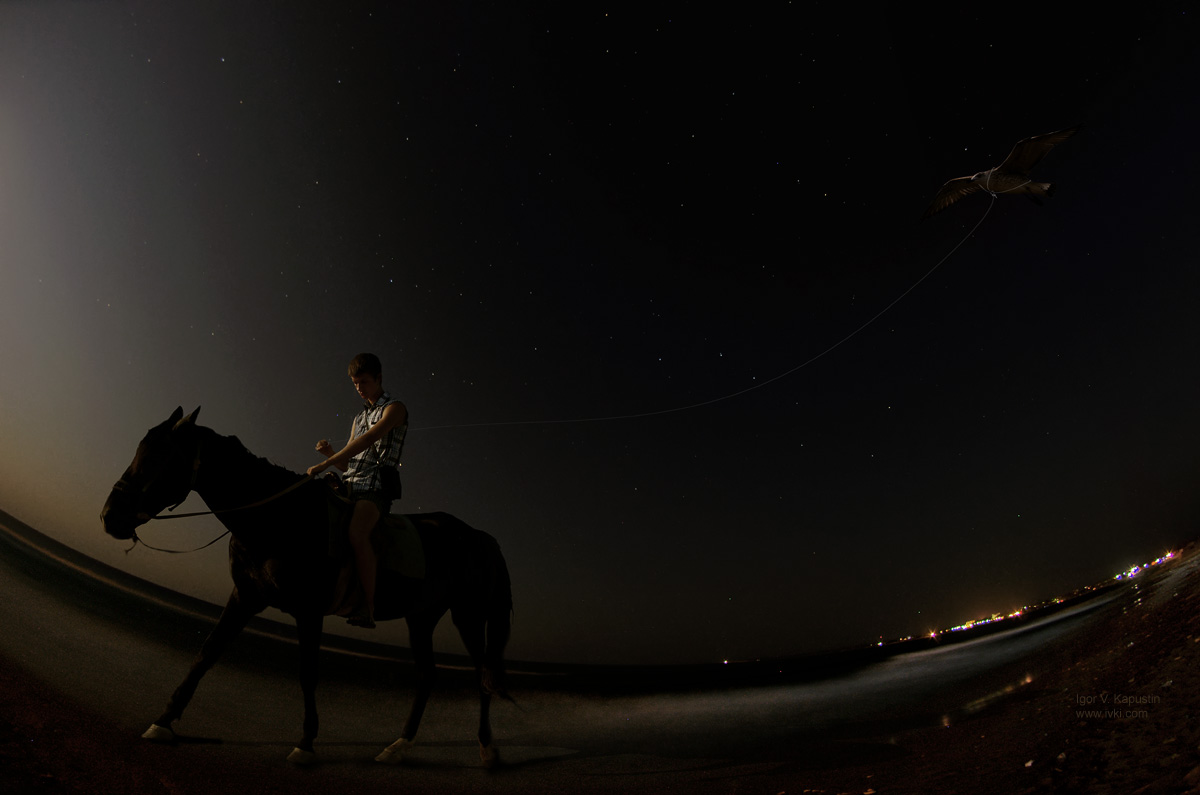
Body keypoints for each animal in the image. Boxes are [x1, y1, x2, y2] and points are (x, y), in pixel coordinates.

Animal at [102, 408, 511, 768]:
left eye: (160, 456)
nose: (110, 516)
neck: (280, 517)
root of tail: (478, 536)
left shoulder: (309, 611)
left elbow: (308, 673)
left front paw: (306, 743)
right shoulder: (245, 598)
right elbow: (207, 653)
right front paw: (163, 721)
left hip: (468, 616)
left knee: (482, 675)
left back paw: (487, 750)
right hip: (421, 618)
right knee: (427, 676)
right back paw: (397, 748)